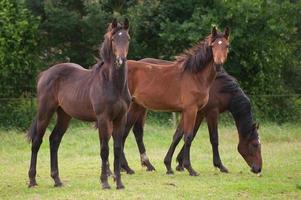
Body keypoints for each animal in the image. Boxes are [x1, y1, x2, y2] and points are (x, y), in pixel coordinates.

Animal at [27, 18, 130, 189]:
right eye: (114, 39)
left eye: (127, 39)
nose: (120, 61)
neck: (113, 84)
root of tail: (44, 74)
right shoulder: (103, 119)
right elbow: (104, 149)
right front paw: (105, 182)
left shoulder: (120, 119)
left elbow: (117, 148)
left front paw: (119, 183)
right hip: (45, 112)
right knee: (37, 141)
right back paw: (32, 180)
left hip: (64, 115)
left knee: (54, 140)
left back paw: (57, 180)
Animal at [120, 26, 230, 175]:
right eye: (213, 46)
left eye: (226, 45)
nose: (218, 65)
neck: (195, 76)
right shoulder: (192, 110)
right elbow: (188, 136)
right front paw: (190, 168)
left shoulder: (186, 111)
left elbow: (177, 135)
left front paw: (168, 166)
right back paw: (126, 167)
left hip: (137, 106)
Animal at [120, 57, 262, 175]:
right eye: (255, 144)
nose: (258, 169)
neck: (219, 87)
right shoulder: (210, 113)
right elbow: (213, 138)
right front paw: (220, 165)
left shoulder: (198, 113)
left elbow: (185, 135)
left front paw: (178, 163)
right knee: (126, 132)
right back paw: (126, 167)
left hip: (140, 108)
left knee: (137, 132)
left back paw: (145, 165)